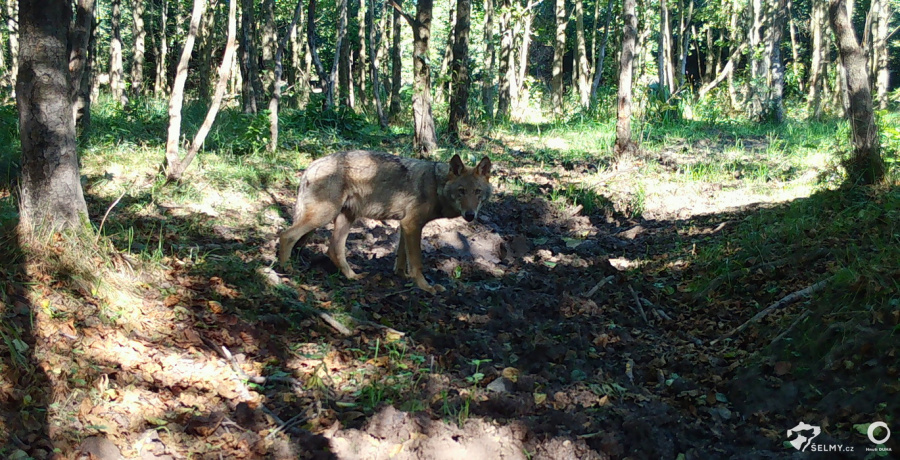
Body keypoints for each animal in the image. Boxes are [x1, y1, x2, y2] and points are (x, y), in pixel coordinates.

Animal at [280, 151, 496, 294]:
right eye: (461, 191)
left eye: (477, 192)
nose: (470, 215)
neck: (436, 185)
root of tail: (312, 165)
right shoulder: (412, 225)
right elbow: (417, 262)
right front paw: (425, 287)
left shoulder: (405, 225)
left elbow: (401, 258)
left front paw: (402, 276)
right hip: (323, 216)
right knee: (287, 235)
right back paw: (286, 269)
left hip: (346, 219)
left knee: (334, 249)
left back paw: (352, 277)